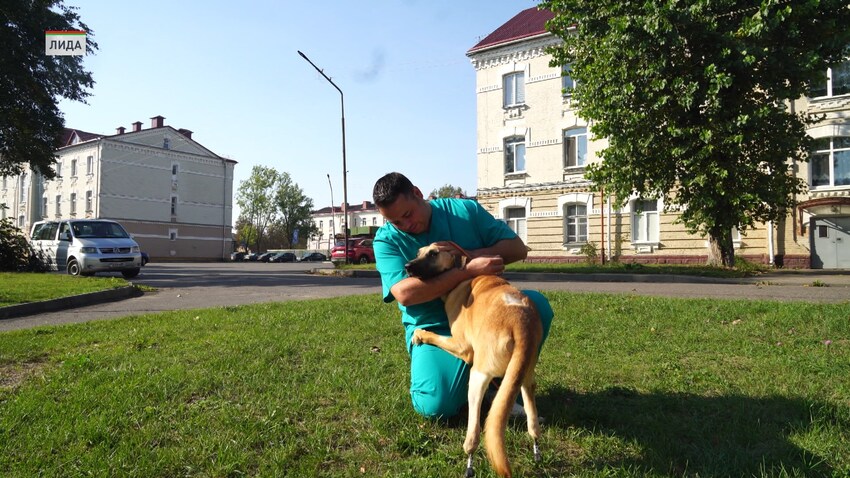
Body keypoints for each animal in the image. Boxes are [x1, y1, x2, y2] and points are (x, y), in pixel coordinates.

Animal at [406, 245, 544, 476]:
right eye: (418, 252)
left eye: (433, 253)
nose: (407, 266)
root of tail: (520, 321)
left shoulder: (461, 346)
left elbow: (434, 335)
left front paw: (420, 334)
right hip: (525, 373)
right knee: (532, 419)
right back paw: (535, 446)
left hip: (477, 378)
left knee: (474, 430)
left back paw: (469, 457)